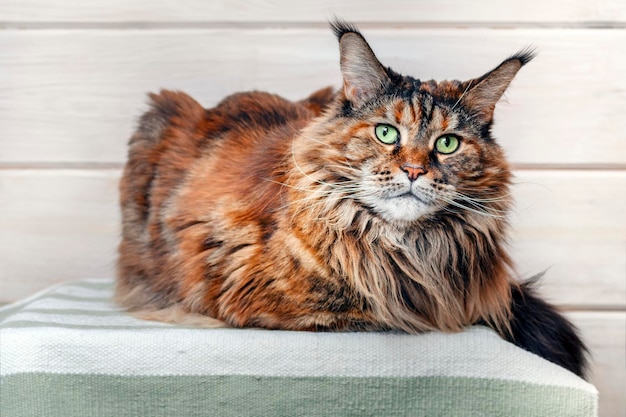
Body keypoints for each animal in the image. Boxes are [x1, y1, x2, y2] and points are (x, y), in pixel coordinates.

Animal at [114, 19, 588, 376]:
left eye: (448, 144)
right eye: (386, 133)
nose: (414, 170)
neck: (408, 248)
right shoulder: (262, 297)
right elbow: (389, 314)